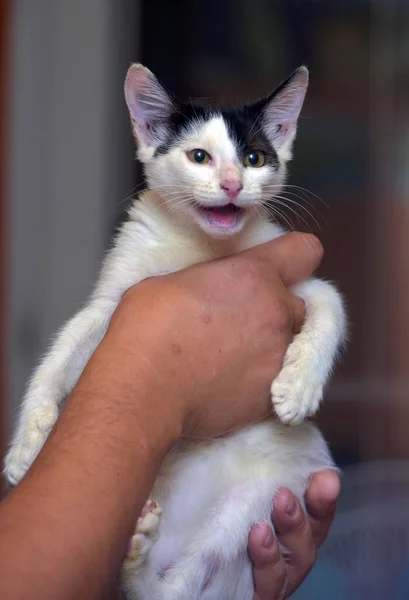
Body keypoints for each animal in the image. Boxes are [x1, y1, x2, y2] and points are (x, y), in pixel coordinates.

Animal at [4, 63, 346, 596]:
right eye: (199, 156)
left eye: (254, 158)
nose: (232, 184)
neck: (203, 247)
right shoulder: (116, 296)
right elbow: (58, 355)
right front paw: (29, 441)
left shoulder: (297, 277)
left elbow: (331, 305)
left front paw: (299, 387)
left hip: (262, 497)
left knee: (184, 583)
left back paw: (141, 568)